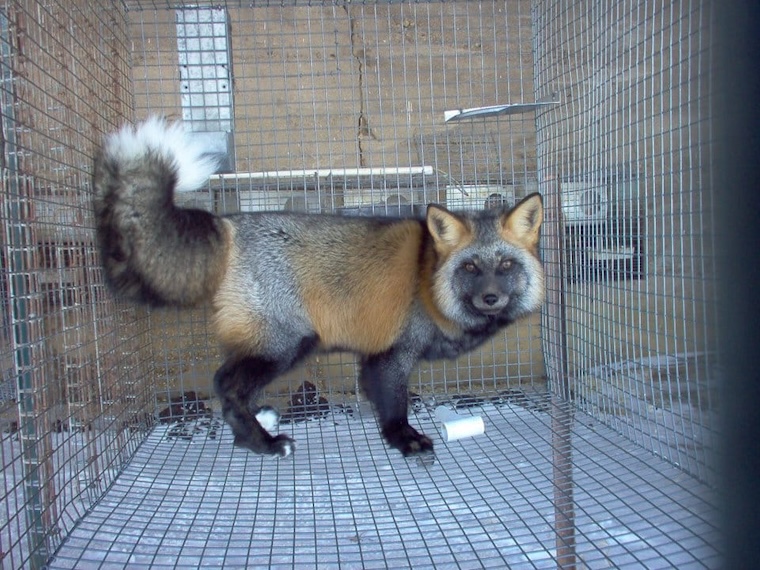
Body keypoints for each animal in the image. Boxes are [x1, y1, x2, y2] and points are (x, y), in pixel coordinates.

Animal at [92, 117, 545, 459]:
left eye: (505, 265)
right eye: (470, 267)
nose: (491, 297)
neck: (430, 285)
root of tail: (230, 224)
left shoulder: (373, 355)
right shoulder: (389, 354)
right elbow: (394, 408)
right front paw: (404, 441)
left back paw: (255, 431)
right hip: (286, 344)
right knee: (225, 385)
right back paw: (262, 443)